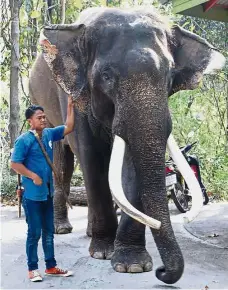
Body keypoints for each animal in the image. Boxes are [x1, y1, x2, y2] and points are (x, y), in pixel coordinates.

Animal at [28, 6, 224, 284]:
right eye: (107, 76)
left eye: (169, 76)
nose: (162, 271)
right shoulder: (75, 98)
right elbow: (92, 160)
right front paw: (103, 253)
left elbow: (130, 169)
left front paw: (132, 265)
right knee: (62, 162)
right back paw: (63, 229)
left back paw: (90, 233)